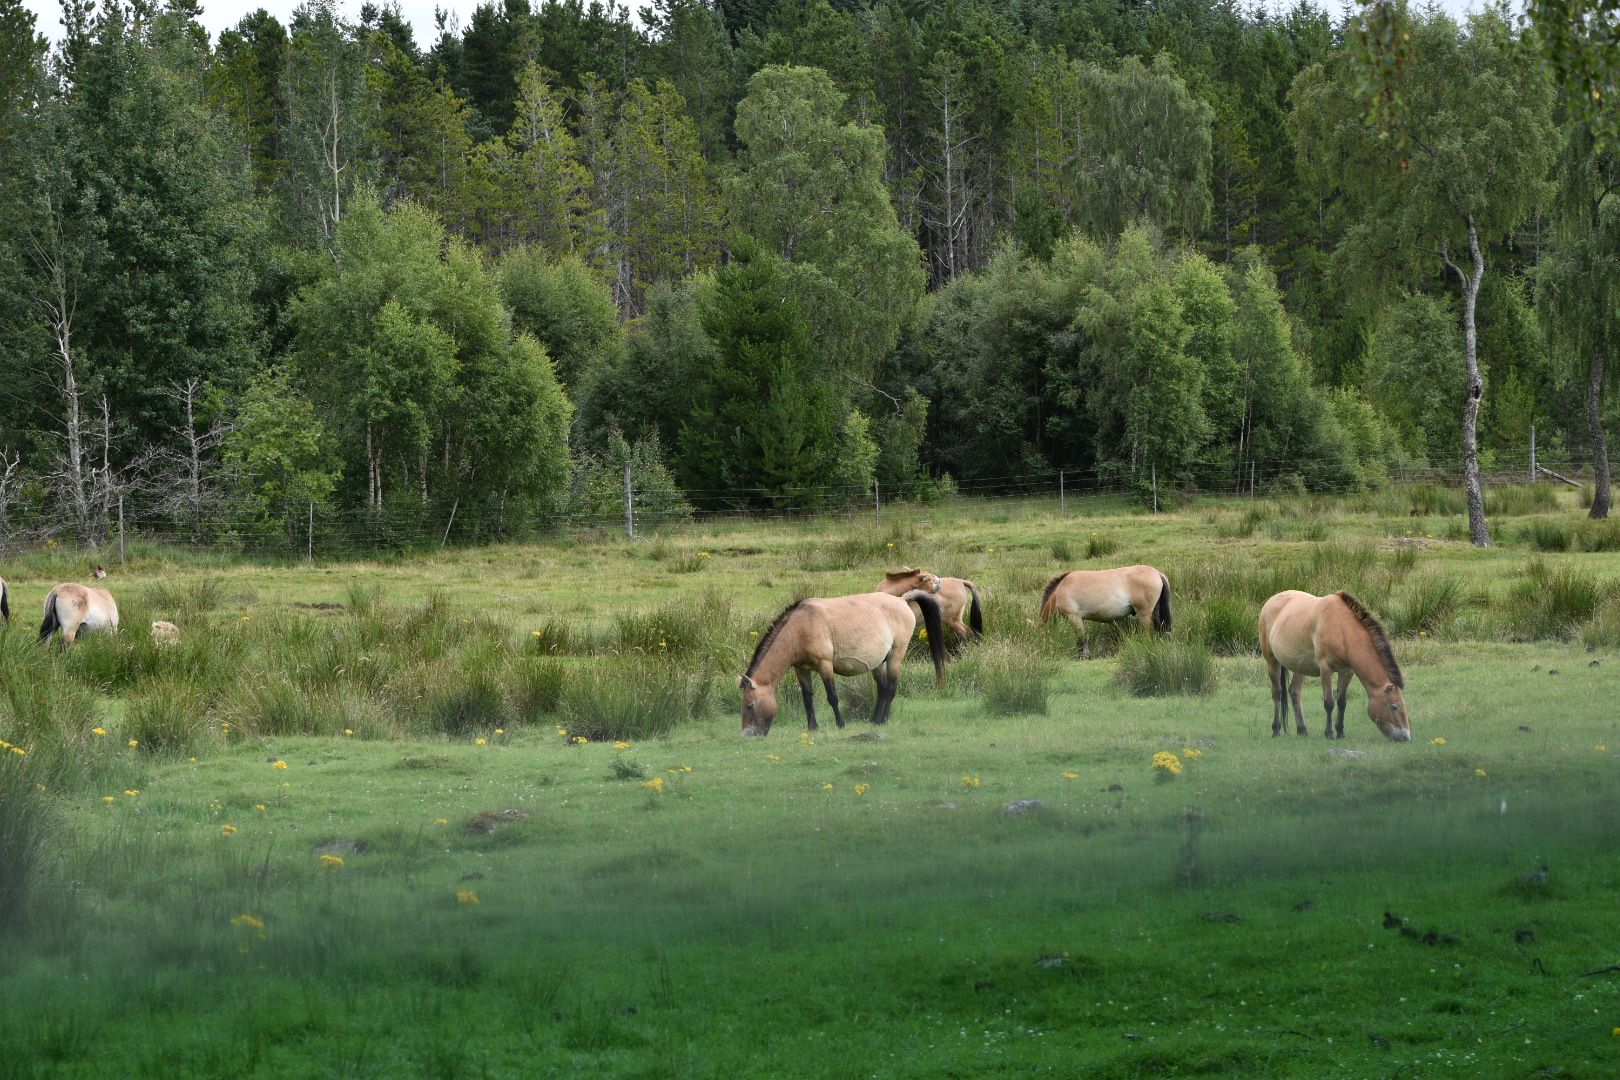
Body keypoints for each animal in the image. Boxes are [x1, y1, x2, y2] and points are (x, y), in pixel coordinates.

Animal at [739, 590, 946, 736]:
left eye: (750, 705)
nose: (748, 734)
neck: (801, 627)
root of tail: (902, 600)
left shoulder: (825, 665)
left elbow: (832, 696)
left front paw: (841, 724)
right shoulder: (801, 669)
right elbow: (807, 698)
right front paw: (812, 727)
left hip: (895, 657)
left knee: (891, 688)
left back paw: (883, 720)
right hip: (879, 662)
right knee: (882, 688)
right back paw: (874, 719)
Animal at [1039, 565, 1171, 658]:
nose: (1043, 650)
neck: (1060, 590)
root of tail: (1157, 573)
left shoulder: (1074, 617)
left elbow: (1082, 638)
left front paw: (1085, 656)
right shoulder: (1081, 619)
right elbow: (1083, 637)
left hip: (1144, 614)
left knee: (1148, 632)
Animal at [1258, 590, 1410, 741]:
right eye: (1393, 706)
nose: (1405, 736)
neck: (1341, 629)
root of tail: (1272, 600)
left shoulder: (1347, 671)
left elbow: (1342, 702)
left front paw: (1340, 732)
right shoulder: (1326, 669)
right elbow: (1329, 702)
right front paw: (1329, 733)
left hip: (1300, 667)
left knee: (1295, 693)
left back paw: (1302, 730)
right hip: (1272, 662)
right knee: (1277, 693)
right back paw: (1276, 729)